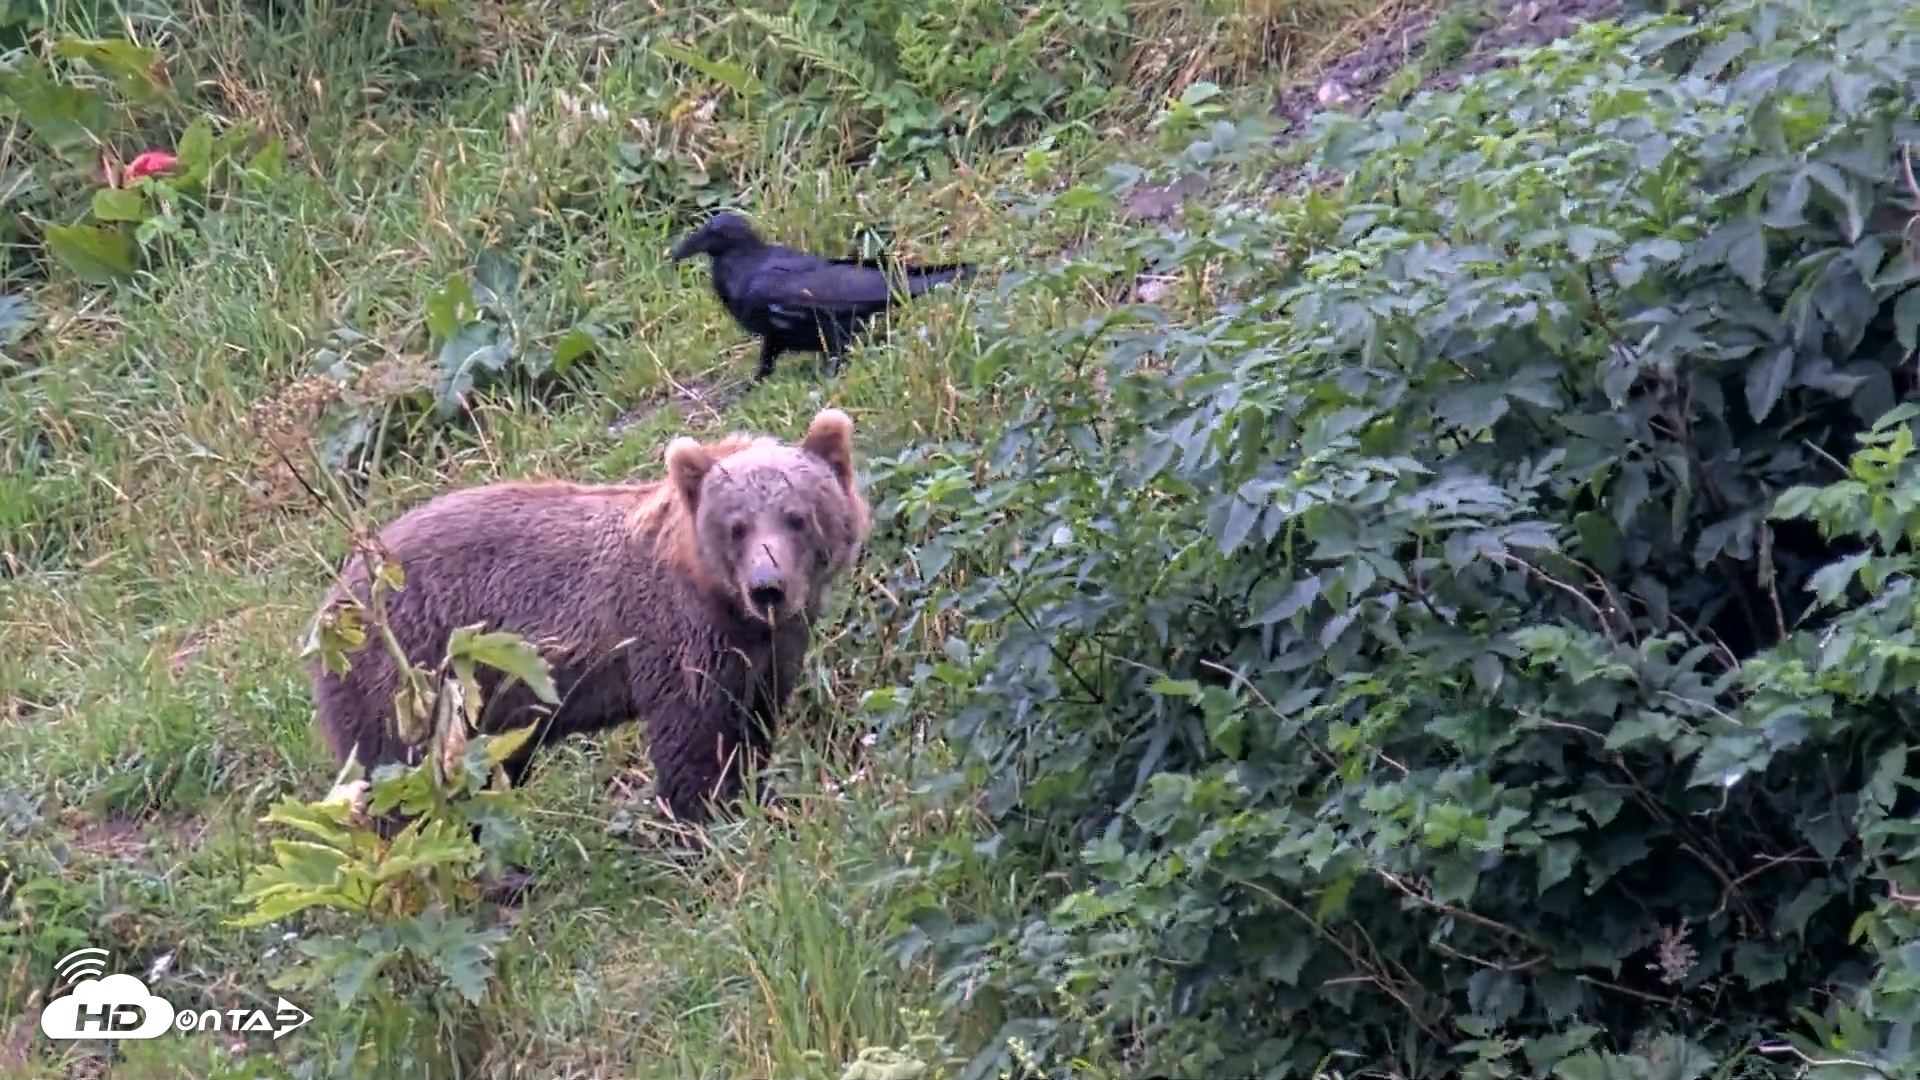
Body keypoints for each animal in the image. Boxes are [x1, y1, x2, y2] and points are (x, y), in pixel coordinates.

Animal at [307, 406, 872, 847]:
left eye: (796, 516)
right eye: (737, 526)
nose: (767, 586)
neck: (722, 603)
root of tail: (333, 599)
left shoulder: (763, 653)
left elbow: (751, 725)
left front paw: (761, 797)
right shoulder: (674, 642)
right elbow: (692, 743)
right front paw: (707, 821)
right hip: (410, 675)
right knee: (406, 781)